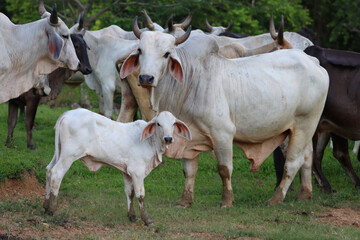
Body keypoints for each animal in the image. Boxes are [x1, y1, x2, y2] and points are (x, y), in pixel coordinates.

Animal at [43, 109, 191, 226]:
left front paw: (132, 216)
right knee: (56, 173)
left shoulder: (127, 172)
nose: (168, 138)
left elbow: (130, 193)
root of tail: (66, 114)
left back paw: (45, 206)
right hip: (69, 155)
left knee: (49, 170)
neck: (151, 142)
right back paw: (52, 210)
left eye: (173, 124)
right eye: (158, 124)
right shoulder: (137, 172)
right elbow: (140, 195)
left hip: (59, 152)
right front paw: (147, 220)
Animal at [120, 18, 330, 206]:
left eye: (166, 54)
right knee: (307, 158)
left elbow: (224, 169)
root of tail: (313, 61)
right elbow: (189, 170)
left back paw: (276, 199)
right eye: (140, 51)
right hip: (302, 130)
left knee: (293, 162)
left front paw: (227, 200)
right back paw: (305, 194)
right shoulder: (188, 138)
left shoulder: (222, 134)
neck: (189, 81)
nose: (146, 78)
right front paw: (185, 200)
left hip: (304, 125)